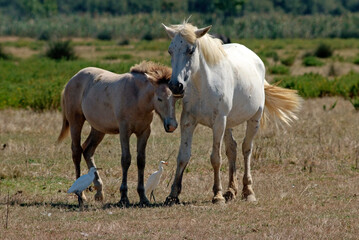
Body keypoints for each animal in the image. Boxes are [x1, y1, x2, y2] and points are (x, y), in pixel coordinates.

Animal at [57, 61, 179, 205]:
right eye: (159, 99)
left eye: (175, 100)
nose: (172, 126)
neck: (137, 97)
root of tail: (72, 79)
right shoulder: (124, 131)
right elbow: (126, 160)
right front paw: (124, 197)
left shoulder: (144, 132)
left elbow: (141, 161)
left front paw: (143, 197)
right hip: (76, 122)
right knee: (76, 152)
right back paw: (81, 196)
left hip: (98, 128)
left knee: (88, 151)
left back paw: (99, 191)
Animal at [162, 21, 300, 204]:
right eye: (170, 51)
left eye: (191, 50)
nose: (175, 86)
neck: (203, 86)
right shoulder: (188, 121)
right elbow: (183, 156)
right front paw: (173, 195)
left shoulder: (219, 122)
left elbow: (216, 158)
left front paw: (217, 195)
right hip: (228, 123)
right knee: (232, 149)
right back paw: (231, 190)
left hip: (252, 120)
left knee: (246, 149)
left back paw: (248, 191)